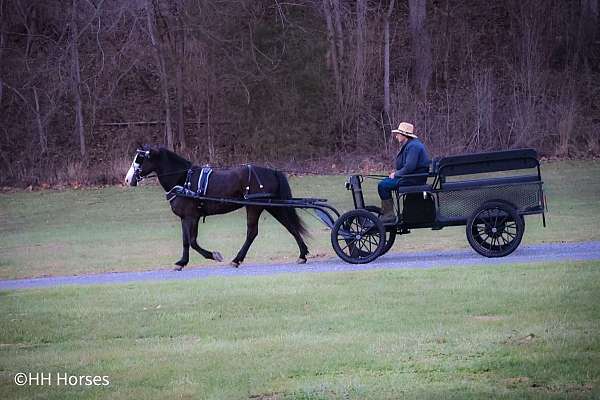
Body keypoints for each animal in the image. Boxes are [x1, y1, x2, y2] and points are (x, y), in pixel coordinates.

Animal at [123, 145, 310, 270]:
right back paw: (302, 254)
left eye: (140, 159)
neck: (183, 180)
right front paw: (181, 263)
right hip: (272, 206)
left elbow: (193, 241)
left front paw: (214, 255)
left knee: (252, 232)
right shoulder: (185, 218)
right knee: (290, 226)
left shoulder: (192, 217)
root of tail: (272, 171)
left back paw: (237, 259)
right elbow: (186, 241)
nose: (127, 180)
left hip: (254, 207)